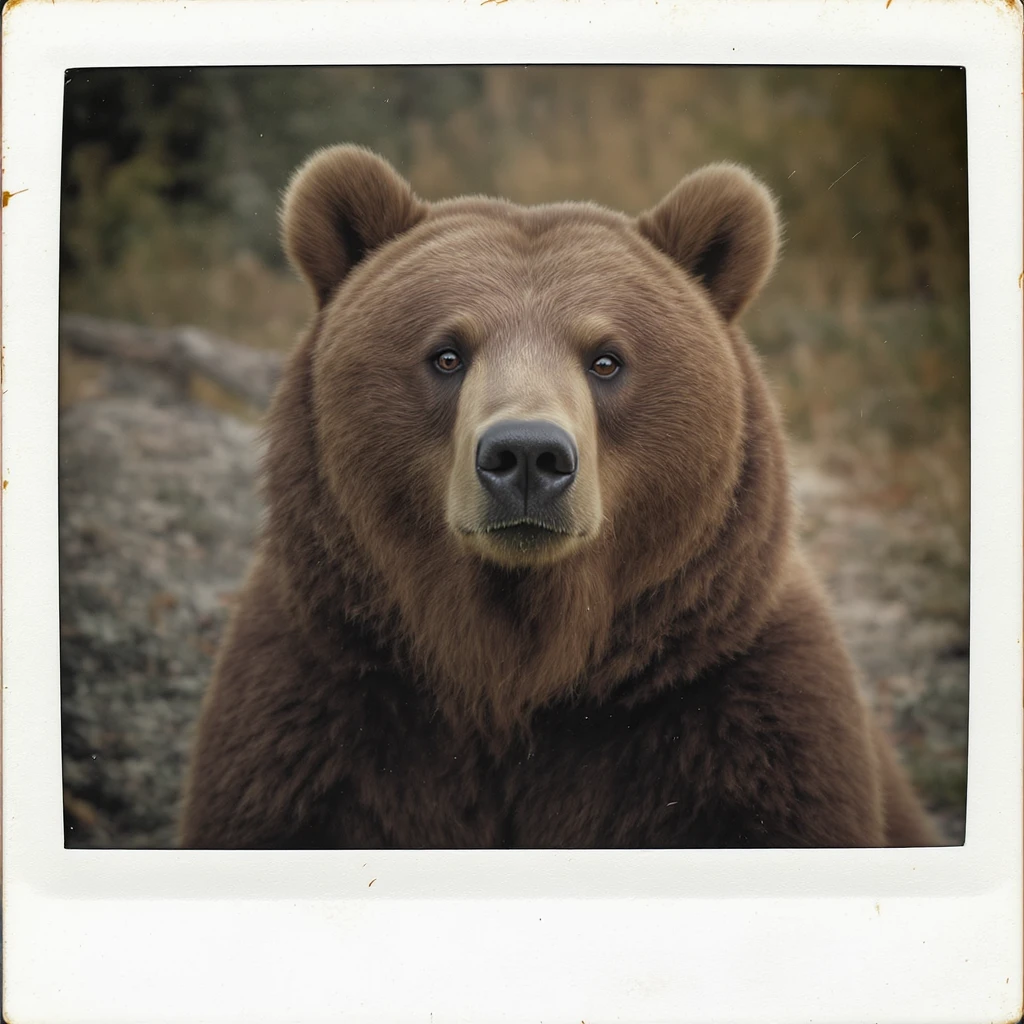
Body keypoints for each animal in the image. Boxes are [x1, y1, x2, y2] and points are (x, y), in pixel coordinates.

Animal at [179, 144, 940, 850]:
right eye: (447, 353)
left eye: (606, 359)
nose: (526, 455)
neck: (520, 675)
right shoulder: (323, 702)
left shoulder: (733, 714)